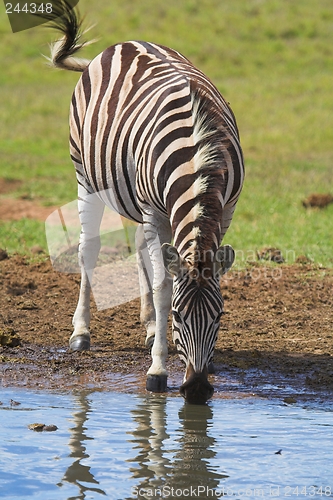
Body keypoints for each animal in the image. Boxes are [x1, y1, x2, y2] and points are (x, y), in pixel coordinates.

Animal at [44, 0, 244, 406]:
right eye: (179, 317)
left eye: (219, 317)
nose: (197, 390)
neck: (200, 157)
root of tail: (122, 44)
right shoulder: (154, 209)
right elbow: (164, 285)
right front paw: (157, 369)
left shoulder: (225, 207)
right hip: (86, 175)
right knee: (89, 250)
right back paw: (81, 333)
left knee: (141, 247)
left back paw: (150, 326)